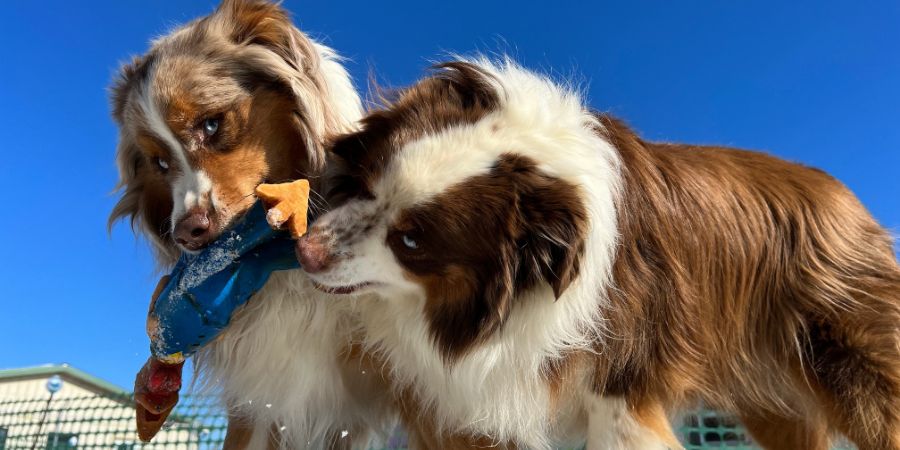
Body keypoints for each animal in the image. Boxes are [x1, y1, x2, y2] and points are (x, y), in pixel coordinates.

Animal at [298, 58, 900, 448]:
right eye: (369, 184)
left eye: (412, 241)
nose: (305, 252)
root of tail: (845, 197)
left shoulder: (624, 380)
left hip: (854, 355)